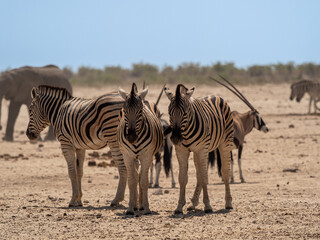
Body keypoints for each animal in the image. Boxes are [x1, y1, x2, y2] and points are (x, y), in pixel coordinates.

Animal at [117, 83, 164, 215]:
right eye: (124, 111)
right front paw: (130, 208)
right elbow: (132, 181)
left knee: (141, 176)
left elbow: (144, 181)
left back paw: (141, 205)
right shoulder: (127, 156)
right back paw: (136, 205)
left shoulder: (147, 156)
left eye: (140, 111)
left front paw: (146, 208)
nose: (131, 136)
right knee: (136, 175)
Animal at [164, 84, 234, 214]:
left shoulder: (202, 150)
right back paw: (193, 204)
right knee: (199, 174)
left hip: (224, 143)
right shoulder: (181, 151)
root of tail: (215, 95)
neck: (185, 132)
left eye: (185, 113)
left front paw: (207, 206)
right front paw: (179, 206)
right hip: (197, 152)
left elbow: (205, 177)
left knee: (225, 171)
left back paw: (228, 203)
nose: (175, 138)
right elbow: (183, 178)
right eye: (169, 113)